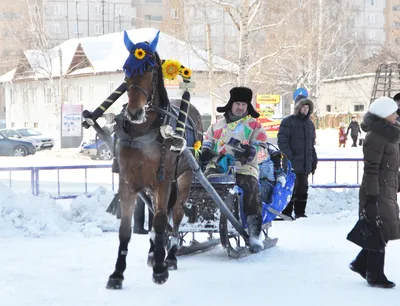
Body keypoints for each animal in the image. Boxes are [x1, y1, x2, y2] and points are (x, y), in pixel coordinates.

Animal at [106, 30, 203, 286]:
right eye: (126, 69)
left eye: (149, 70)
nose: (134, 112)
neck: (143, 132)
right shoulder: (128, 182)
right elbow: (126, 229)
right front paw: (117, 273)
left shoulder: (163, 181)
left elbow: (161, 221)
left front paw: (161, 268)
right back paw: (153, 251)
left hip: (184, 178)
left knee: (175, 215)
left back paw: (170, 255)